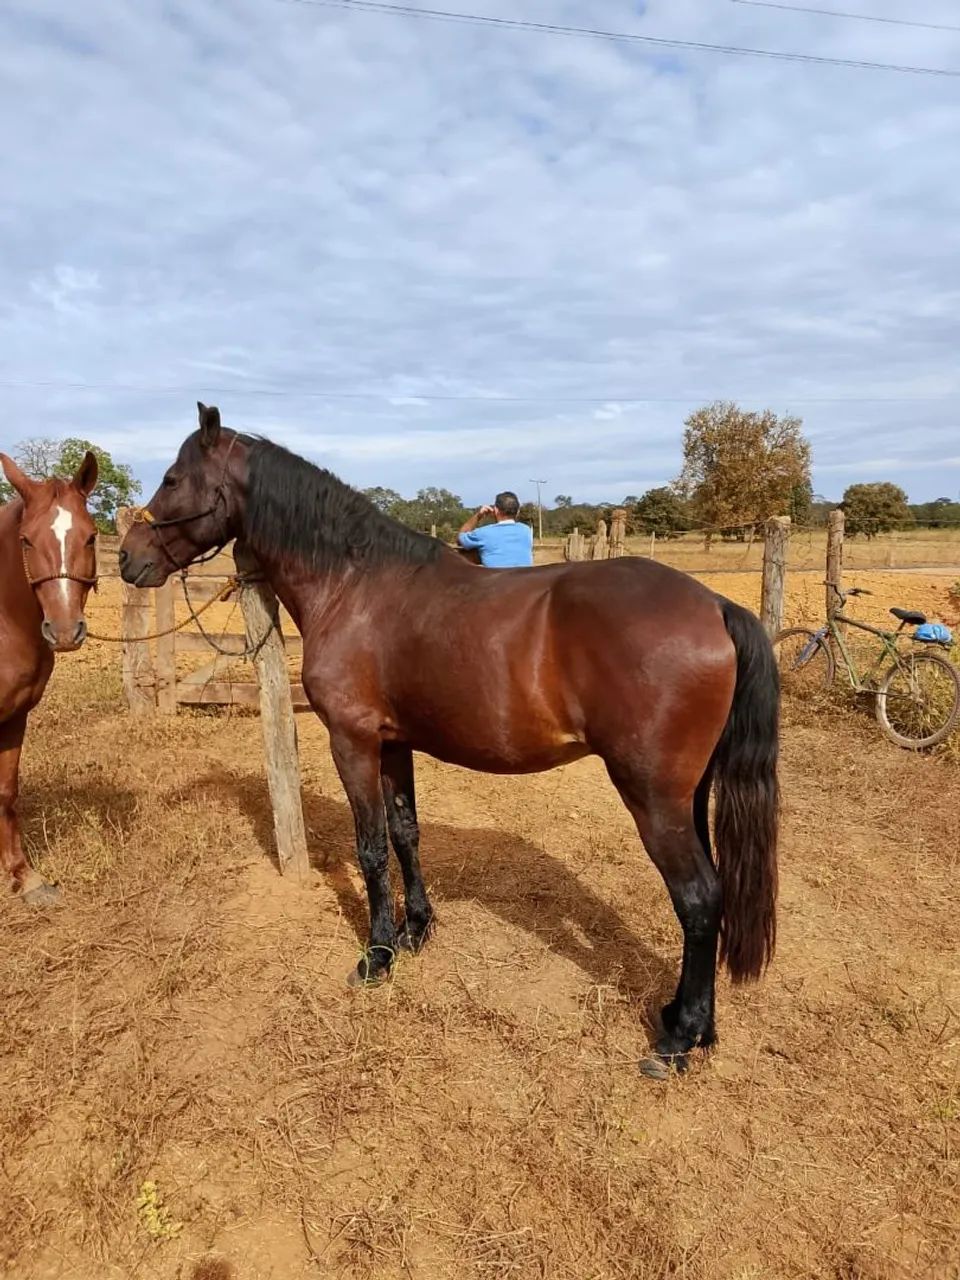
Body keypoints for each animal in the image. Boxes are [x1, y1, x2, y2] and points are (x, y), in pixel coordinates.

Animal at [119, 404, 779, 1077]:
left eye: (172, 479)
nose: (127, 558)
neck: (355, 585)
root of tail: (715, 606)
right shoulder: (393, 743)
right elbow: (405, 832)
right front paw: (416, 931)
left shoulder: (352, 742)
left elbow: (370, 848)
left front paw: (377, 955)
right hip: (688, 795)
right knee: (712, 896)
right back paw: (689, 1022)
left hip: (652, 797)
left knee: (698, 899)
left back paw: (677, 1042)